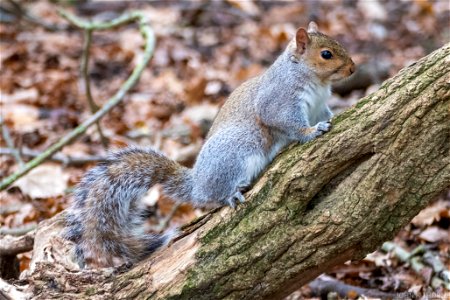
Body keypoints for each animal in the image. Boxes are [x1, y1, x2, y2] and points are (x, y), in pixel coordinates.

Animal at [63, 22, 356, 268]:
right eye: (326, 54)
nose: (353, 69)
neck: (314, 80)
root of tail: (197, 183)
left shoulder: (318, 105)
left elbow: (325, 113)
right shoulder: (279, 100)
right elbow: (286, 122)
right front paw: (311, 131)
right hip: (239, 149)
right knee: (213, 195)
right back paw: (231, 193)